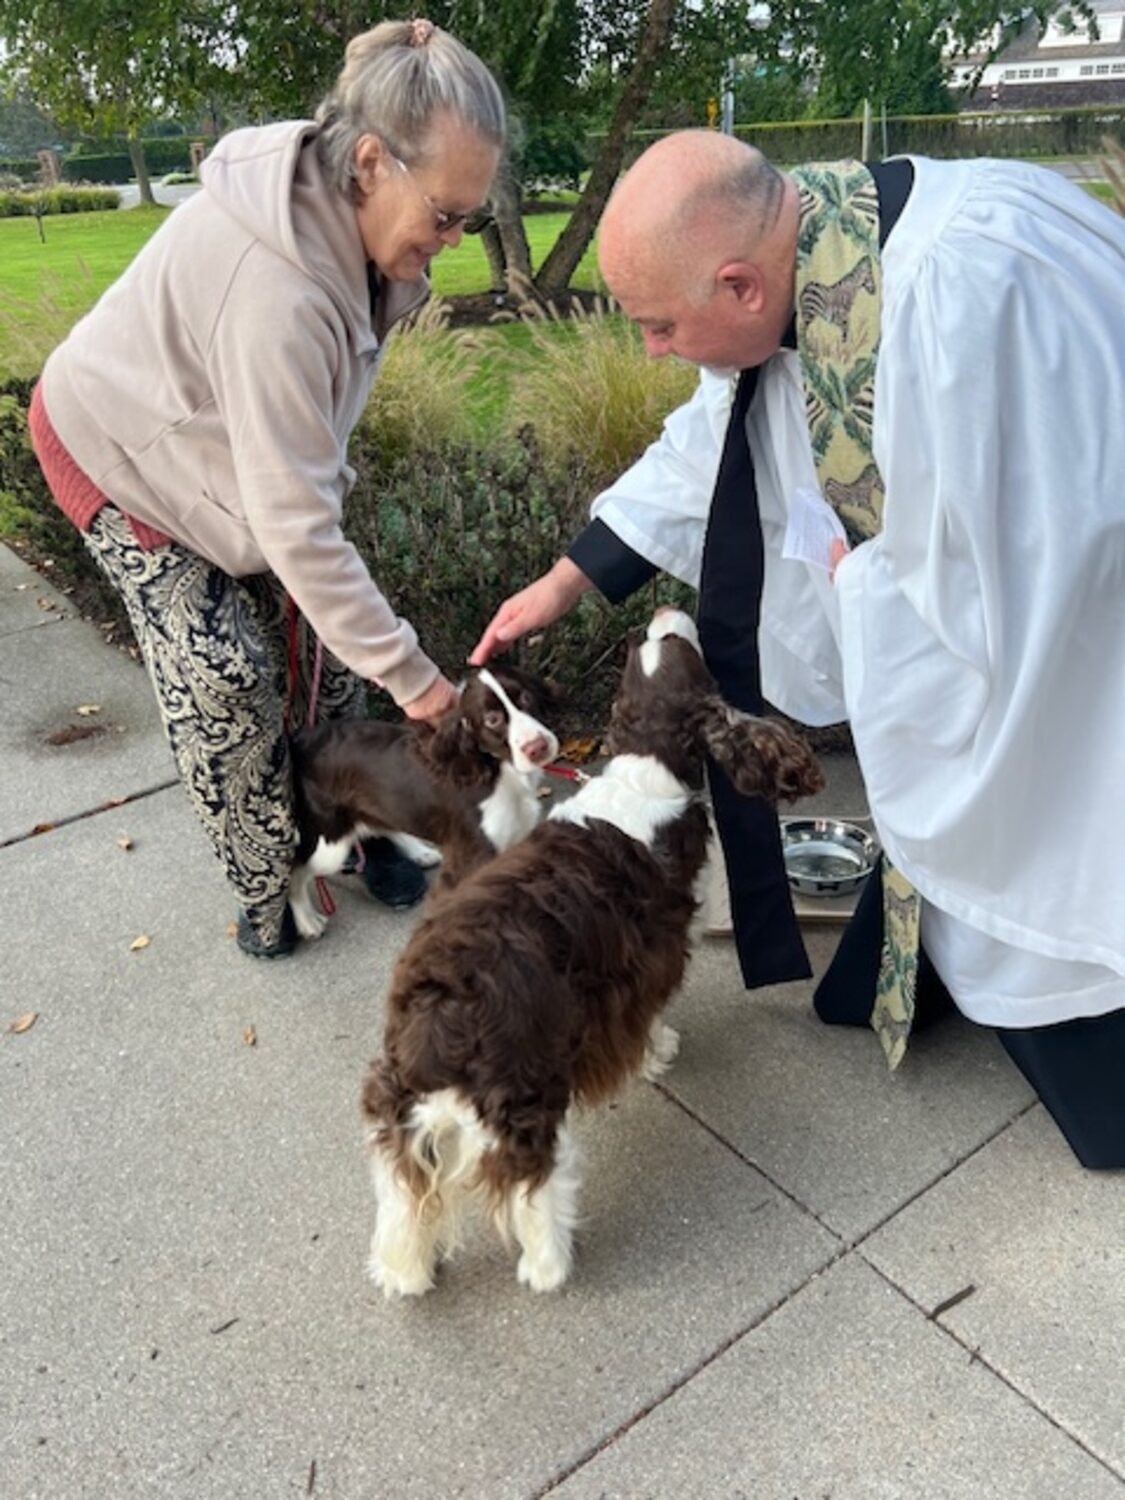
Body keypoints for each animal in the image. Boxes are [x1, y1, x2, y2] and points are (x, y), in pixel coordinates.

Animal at [286, 669, 561, 936]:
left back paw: (419, 851)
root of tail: (299, 739)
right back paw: (306, 921)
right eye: (492, 719)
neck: (497, 770)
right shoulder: (470, 858)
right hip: (328, 843)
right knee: (295, 870)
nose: (537, 748)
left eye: (526, 697)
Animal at [366, 606, 822, 1290]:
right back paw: (549, 1265)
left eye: (649, 647)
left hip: (399, 1105)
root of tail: (436, 1021)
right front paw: (661, 1051)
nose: (661, 610)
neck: (643, 770)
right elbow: (651, 1013)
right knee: (532, 1185)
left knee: (404, 1190)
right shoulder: (647, 962)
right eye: (674, 642)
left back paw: (403, 1272)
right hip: (528, 1091)